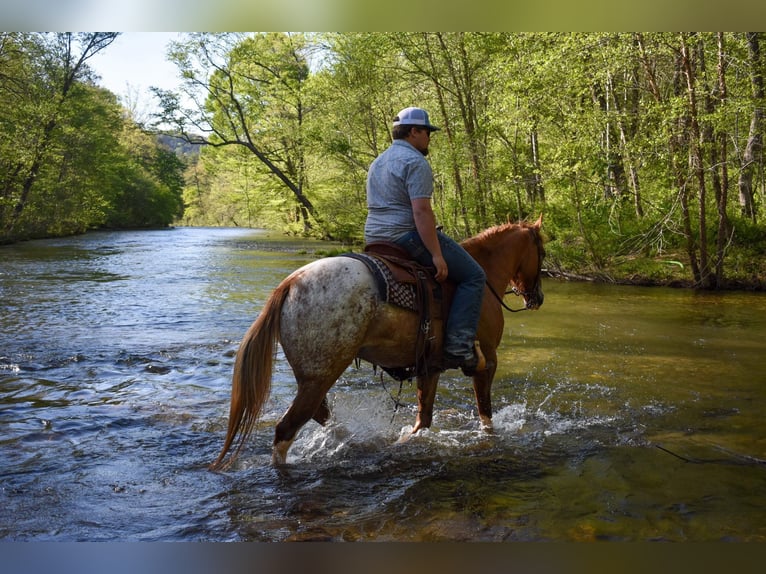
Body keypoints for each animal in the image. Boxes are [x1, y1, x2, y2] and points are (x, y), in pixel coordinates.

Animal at [210, 216, 544, 472]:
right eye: (542, 251)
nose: (537, 298)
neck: (485, 278)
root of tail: (290, 283)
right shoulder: (488, 361)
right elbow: (485, 413)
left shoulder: (430, 367)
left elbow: (423, 419)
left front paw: (404, 442)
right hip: (321, 375)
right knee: (287, 428)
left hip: (312, 377)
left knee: (320, 416)